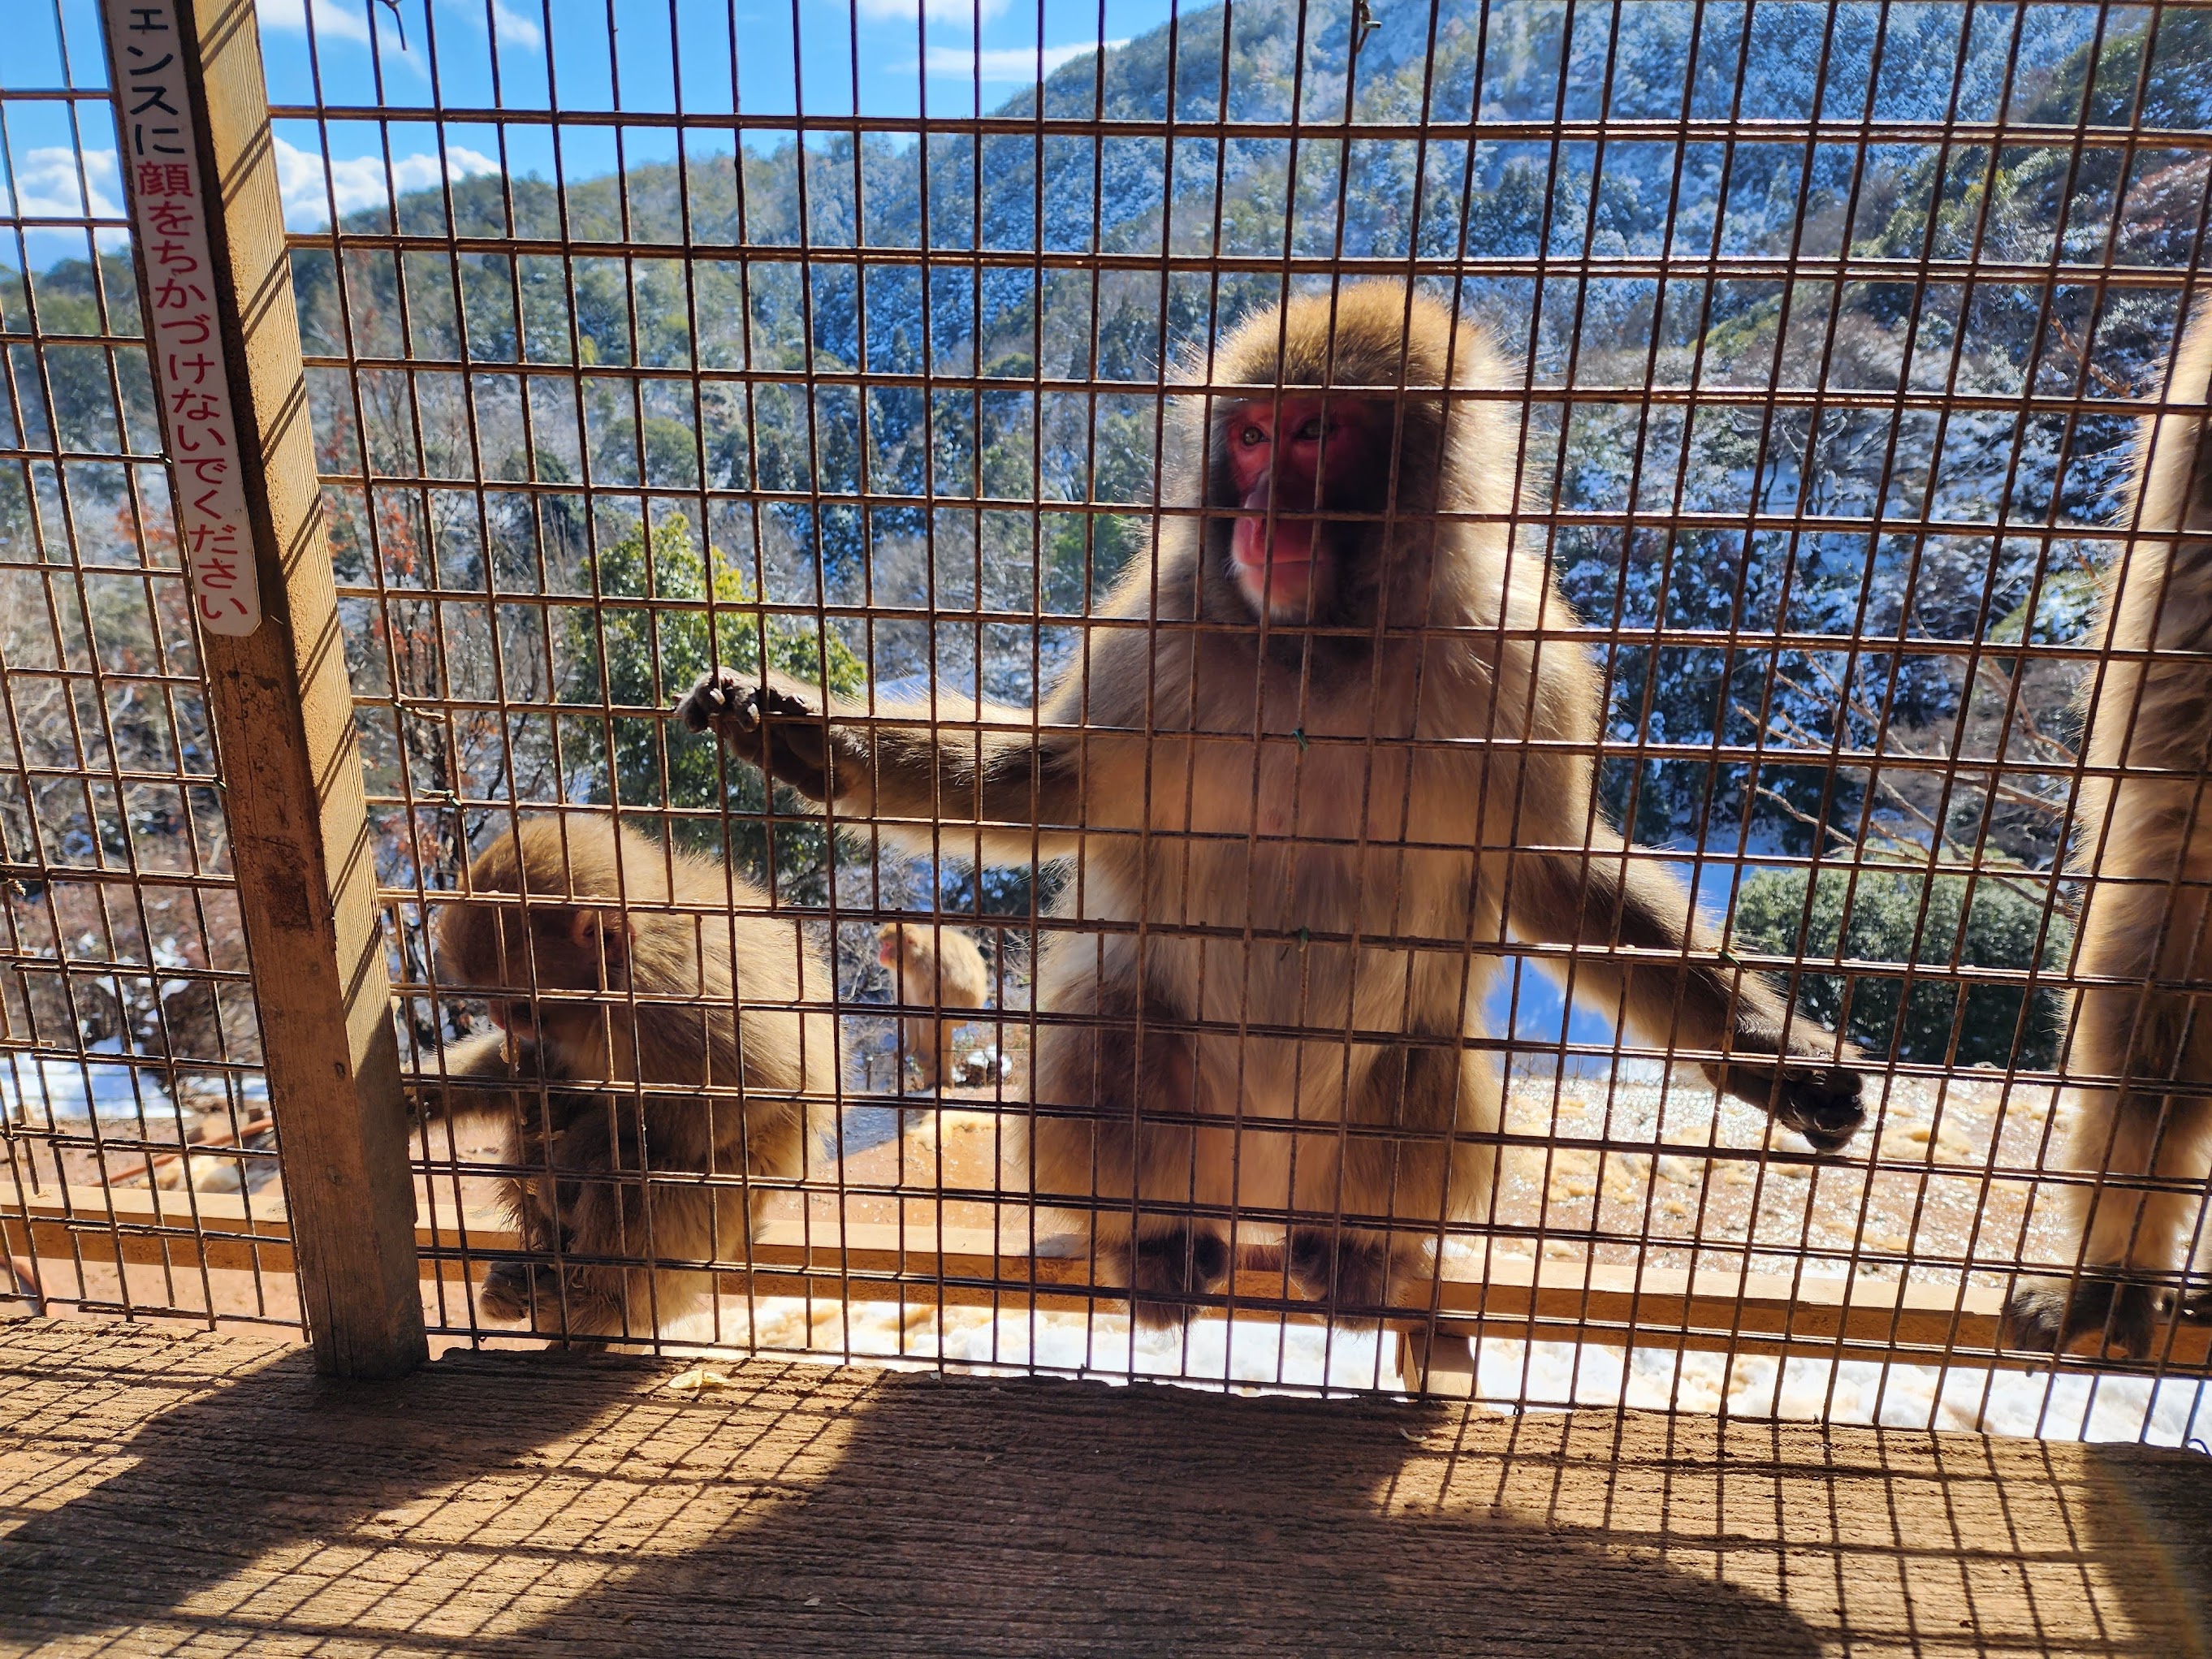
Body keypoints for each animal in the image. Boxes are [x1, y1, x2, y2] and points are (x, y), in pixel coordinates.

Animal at [416, 815, 835, 1342]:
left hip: (721, 1221)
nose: (496, 1017)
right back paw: (530, 1275)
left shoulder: (678, 993)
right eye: (492, 1001)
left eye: (518, 1005)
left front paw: (575, 1163)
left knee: (641, 1173)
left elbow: (758, 1093)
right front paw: (424, 1095)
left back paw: (601, 1305)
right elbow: (537, 1069)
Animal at [876, 920, 992, 1091]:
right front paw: (908, 1048)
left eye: (887, 945)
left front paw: (925, 1057)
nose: (881, 954)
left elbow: (927, 1011)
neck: (913, 960)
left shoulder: (926, 972)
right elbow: (908, 1007)